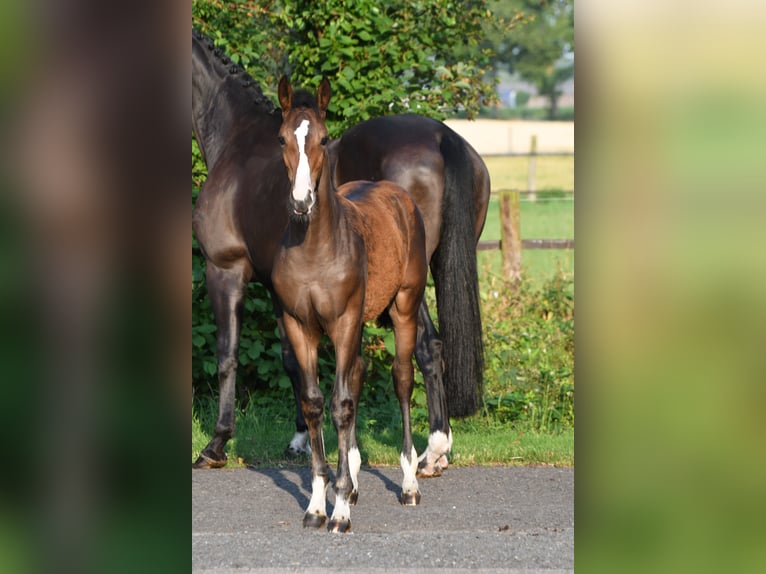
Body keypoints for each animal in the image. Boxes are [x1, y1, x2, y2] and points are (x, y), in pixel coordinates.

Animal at [192, 28, 492, 476]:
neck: (236, 140)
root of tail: (444, 138)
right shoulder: (282, 288)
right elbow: (293, 359)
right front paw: (301, 438)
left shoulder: (225, 269)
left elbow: (227, 354)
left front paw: (216, 444)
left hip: (407, 283)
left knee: (428, 346)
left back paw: (431, 451)